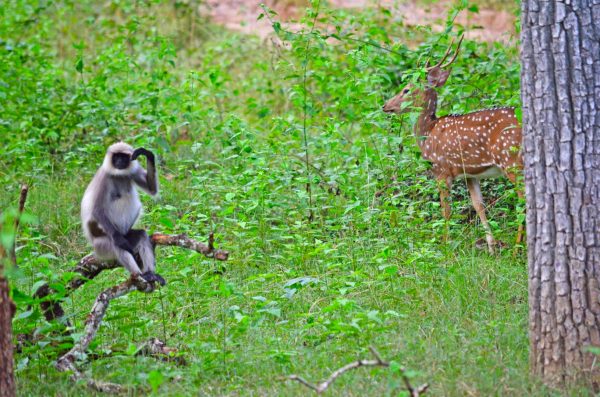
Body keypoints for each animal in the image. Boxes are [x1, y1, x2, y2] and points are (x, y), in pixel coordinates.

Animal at [384, 37, 520, 254]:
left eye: (406, 89)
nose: (385, 106)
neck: (428, 133)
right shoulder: (470, 174)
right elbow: (479, 206)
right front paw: (491, 248)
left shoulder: (442, 169)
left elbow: (446, 210)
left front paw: (446, 245)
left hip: (511, 159)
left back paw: (517, 249)